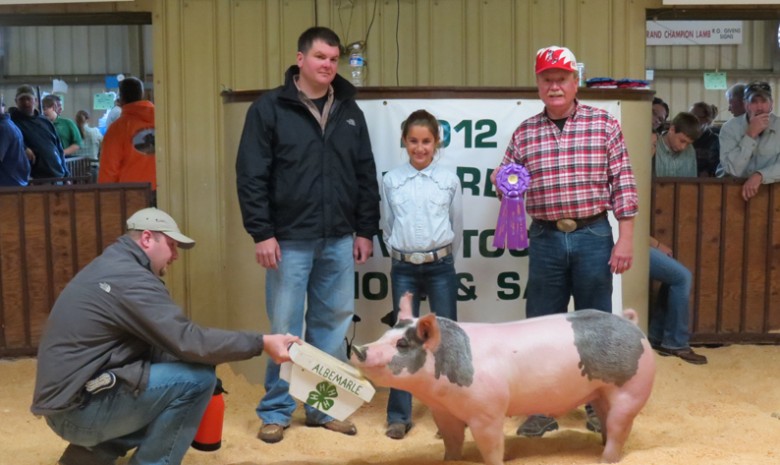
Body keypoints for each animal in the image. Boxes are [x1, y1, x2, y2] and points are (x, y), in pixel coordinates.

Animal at [350, 294, 656, 464]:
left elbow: (492, 448)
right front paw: (450, 460)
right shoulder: (444, 412)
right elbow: (451, 441)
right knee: (606, 421)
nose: (358, 349)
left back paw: (605, 460)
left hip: (631, 391)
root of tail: (632, 325)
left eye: (402, 344)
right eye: (384, 334)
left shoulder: (488, 412)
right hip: (601, 393)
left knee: (619, 428)